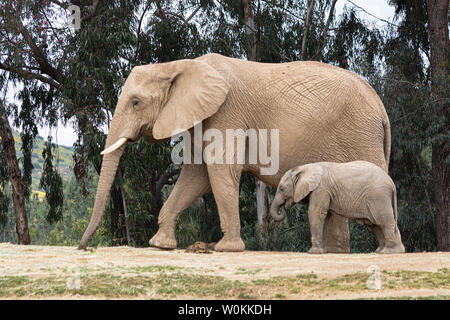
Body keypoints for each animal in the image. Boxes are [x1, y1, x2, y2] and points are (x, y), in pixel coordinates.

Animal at [77, 53, 390, 252]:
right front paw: (160, 245)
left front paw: (226, 249)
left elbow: (219, 169)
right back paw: (339, 253)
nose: (83, 247)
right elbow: (196, 176)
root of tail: (381, 107)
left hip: (361, 136)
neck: (179, 65)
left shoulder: (227, 113)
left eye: (136, 102)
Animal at [270, 161, 404, 254]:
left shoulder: (321, 189)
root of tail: (391, 183)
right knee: (374, 223)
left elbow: (316, 213)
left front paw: (313, 252)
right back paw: (384, 251)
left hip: (378, 197)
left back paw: (389, 252)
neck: (306, 167)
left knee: (383, 221)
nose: (282, 209)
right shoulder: (324, 191)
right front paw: (322, 252)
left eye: (281, 189)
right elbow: (325, 216)